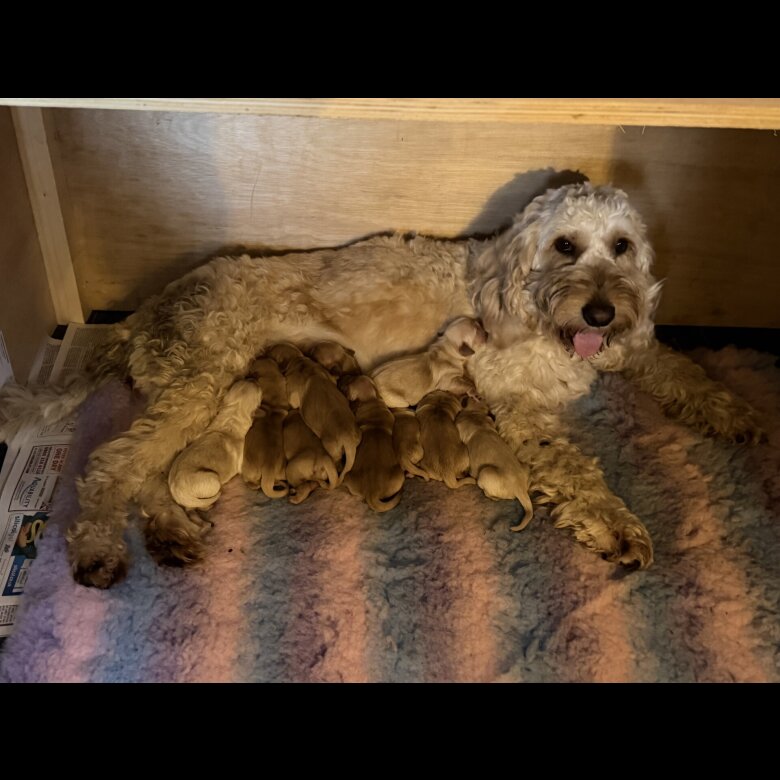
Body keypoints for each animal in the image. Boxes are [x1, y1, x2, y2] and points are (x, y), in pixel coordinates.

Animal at [242, 356, 289, 498]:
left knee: (251, 482)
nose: (258, 357)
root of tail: (269, 469)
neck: (273, 404)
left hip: (248, 469)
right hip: (282, 471)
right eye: (271, 360)